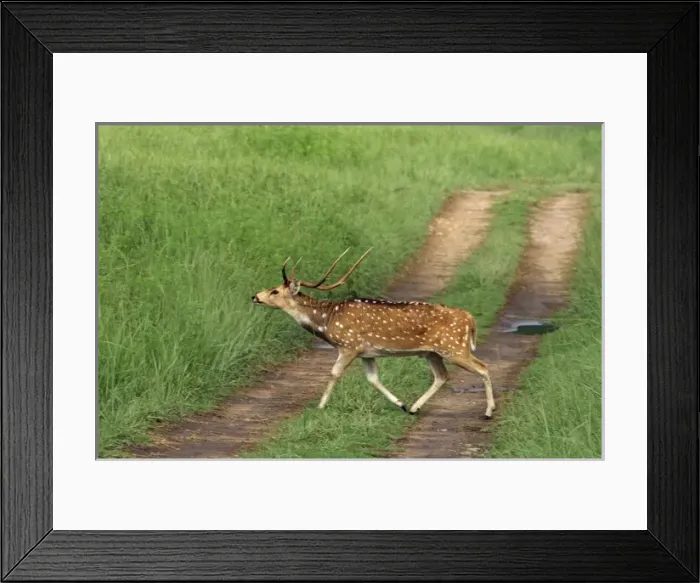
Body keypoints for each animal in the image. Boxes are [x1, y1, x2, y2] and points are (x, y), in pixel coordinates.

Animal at [251, 248, 495, 419]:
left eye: (275, 291)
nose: (255, 296)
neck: (326, 321)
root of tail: (469, 318)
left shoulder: (349, 345)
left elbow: (334, 373)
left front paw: (319, 406)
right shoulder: (367, 353)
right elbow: (373, 378)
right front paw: (401, 404)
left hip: (453, 347)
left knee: (483, 366)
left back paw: (488, 412)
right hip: (432, 352)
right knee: (442, 376)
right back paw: (414, 407)